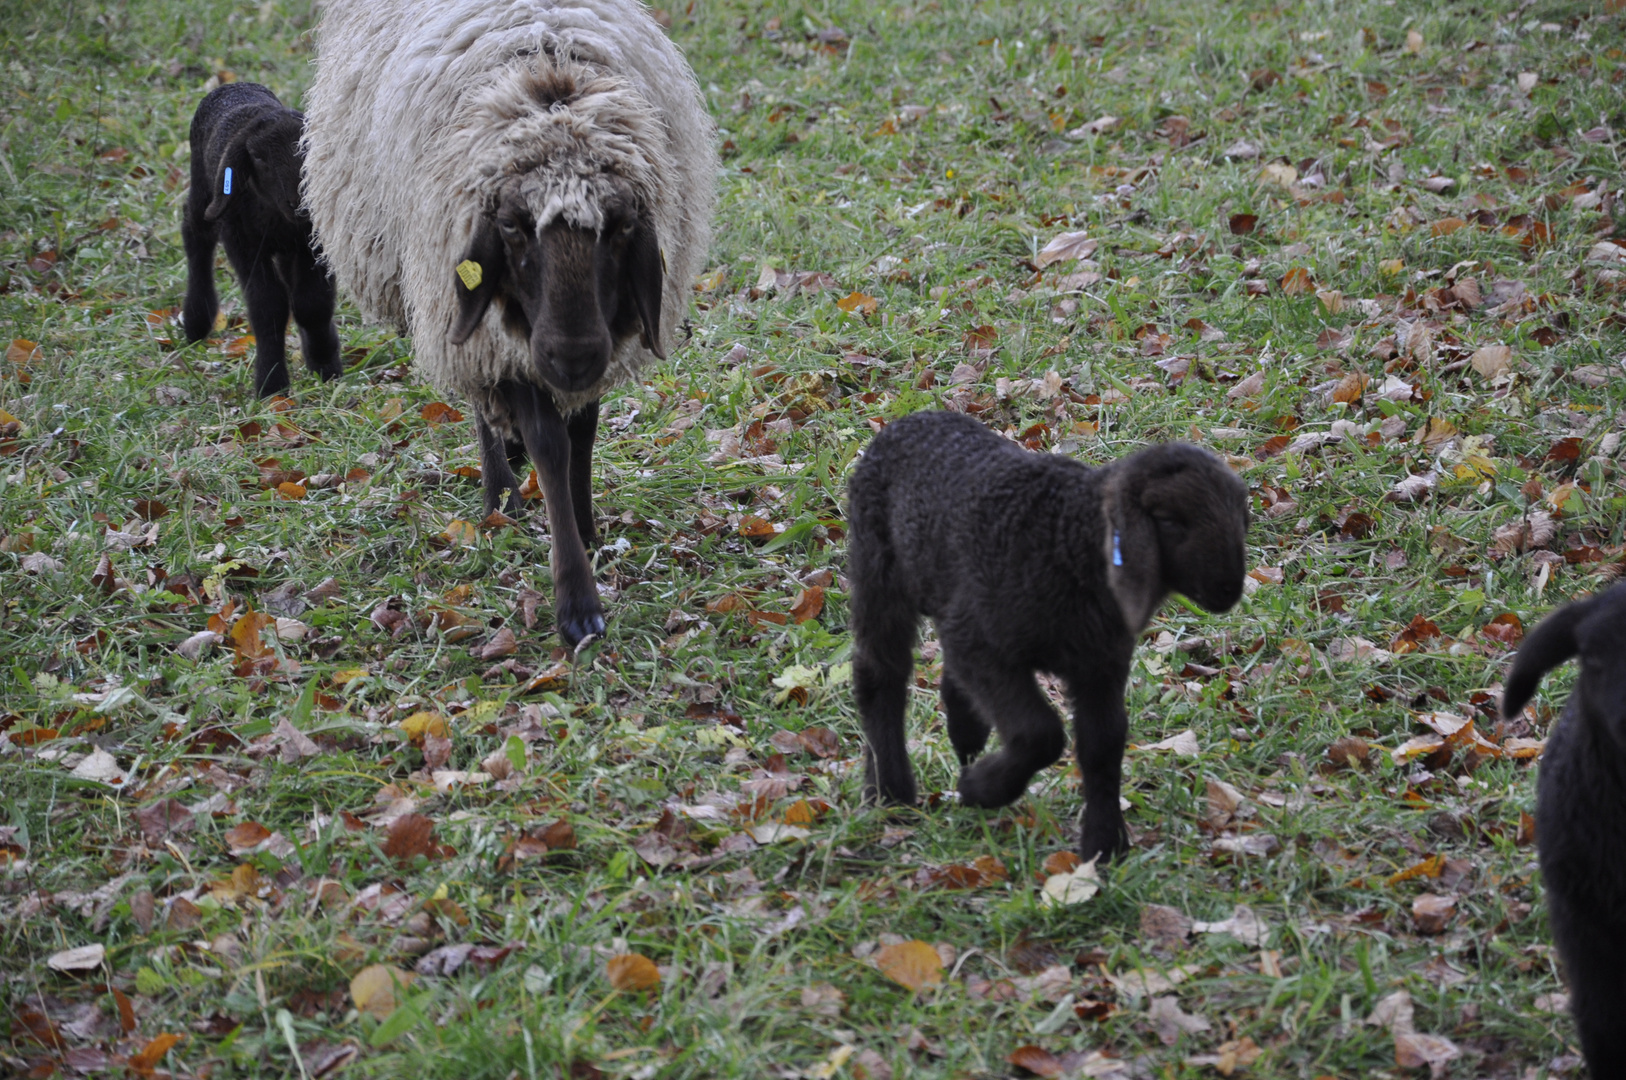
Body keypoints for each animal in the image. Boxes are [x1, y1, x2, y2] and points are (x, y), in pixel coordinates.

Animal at [179, 83, 341, 396]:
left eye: (306, 149)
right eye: (258, 158)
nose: (300, 204)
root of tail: (232, 86)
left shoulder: (310, 243)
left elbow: (312, 304)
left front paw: (325, 364)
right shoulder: (243, 244)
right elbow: (268, 307)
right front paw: (271, 385)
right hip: (204, 187)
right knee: (196, 236)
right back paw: (196, 321)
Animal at [302, 0, 715, 644]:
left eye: (622, 227)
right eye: (514, 228)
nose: (570, 354)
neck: (551, 85)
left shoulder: (593, 350)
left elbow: (582, 434)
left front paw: (588, 530)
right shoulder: (502, 343)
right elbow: (550, 443)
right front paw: (577, 601)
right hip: (463, 317)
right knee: (483, 401)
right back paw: (500, 493)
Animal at [845, 409, 1248, 865]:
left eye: (1241, 515)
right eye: (1169, 519)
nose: (1229, 588)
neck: (1069, 541)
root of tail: (911, 417)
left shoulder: (1100, 664)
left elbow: (1103, 745)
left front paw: (1104, 845)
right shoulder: (984, 646)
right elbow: (1041, 734)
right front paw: (982, 788)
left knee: (950, 684)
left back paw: (964, 741)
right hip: (880, 570)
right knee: (880, 674)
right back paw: (889, 792)